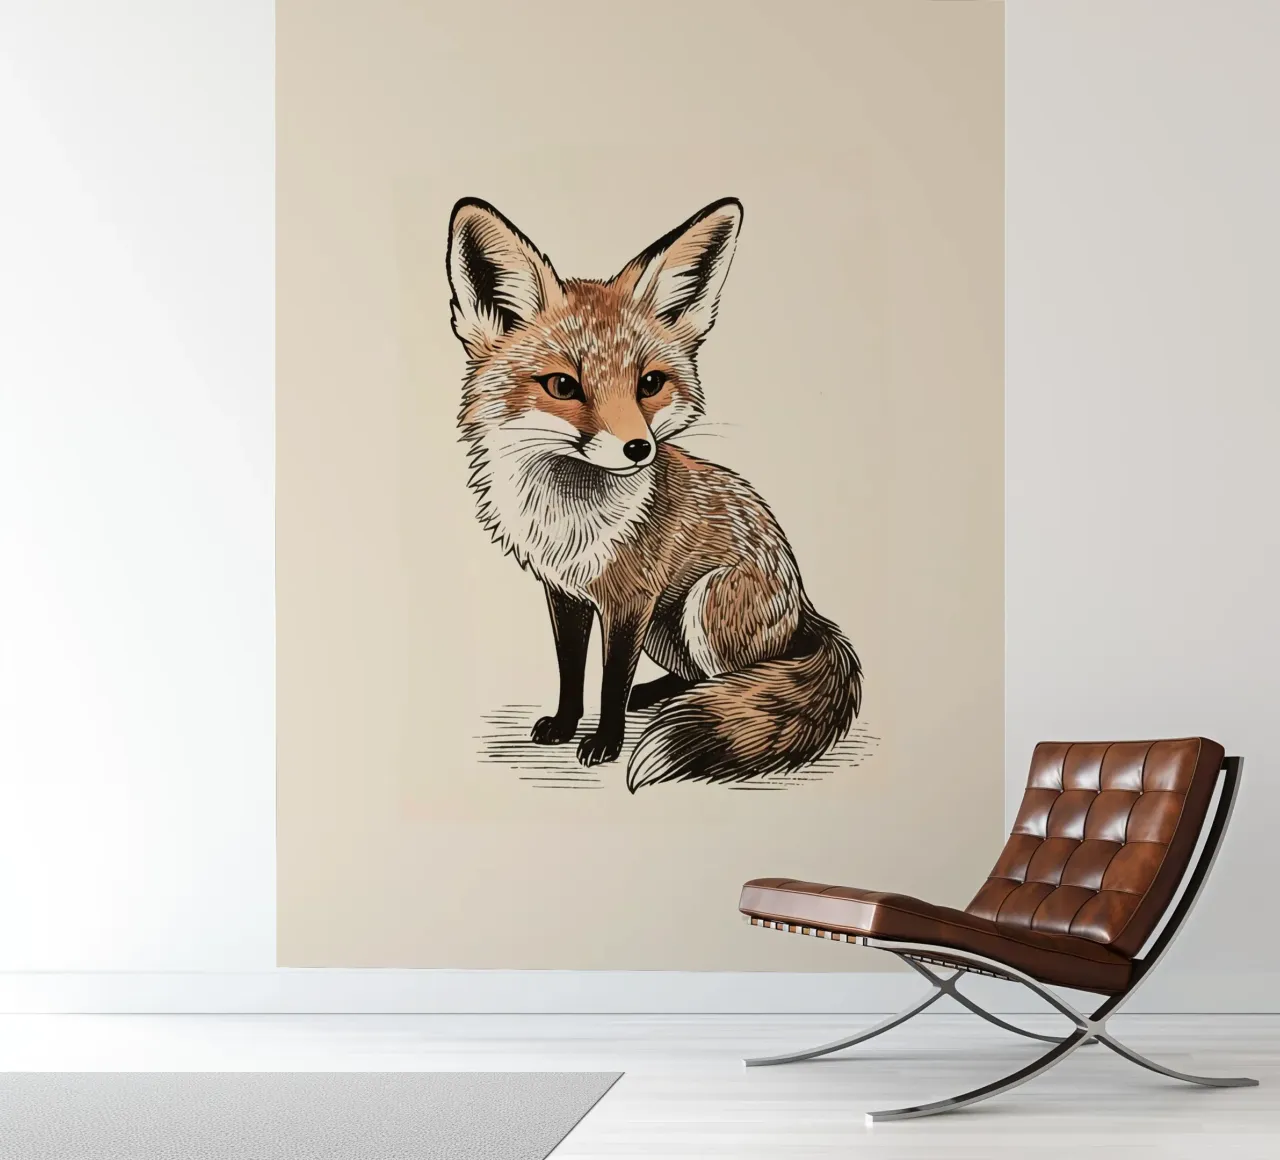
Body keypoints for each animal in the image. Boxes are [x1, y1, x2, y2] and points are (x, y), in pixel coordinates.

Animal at [445, 195, 862, 791]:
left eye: (649, 384)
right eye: (563, 386)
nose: (639, 448)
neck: (569, 519)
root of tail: (805, 607)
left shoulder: (631, 599)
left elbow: (611, 679)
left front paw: (605, 742)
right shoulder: (566, 593)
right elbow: (571, 671)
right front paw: (566, 725)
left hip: (702, 603)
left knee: (742, 681)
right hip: (670, 630)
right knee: (697, 677)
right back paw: (659, 695)